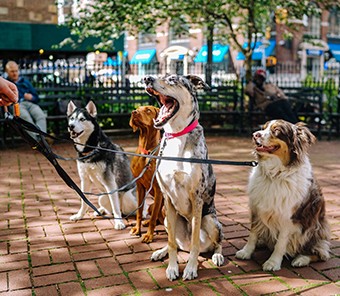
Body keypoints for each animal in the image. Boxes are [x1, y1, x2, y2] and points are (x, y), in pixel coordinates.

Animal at [129, 106, 165, 243]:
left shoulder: (158, 189)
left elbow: (154, 217)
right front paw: (137, 229)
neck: (147, 152)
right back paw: (146, 222)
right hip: (151, 205)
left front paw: (149, 235)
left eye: (148, 110)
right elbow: (139, 212)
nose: (133, 112)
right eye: (137, 109)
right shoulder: (139, 186)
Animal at [143, 74, 223, 282]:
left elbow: (195, 242)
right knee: (177, 244)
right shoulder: (168, 198)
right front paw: (172, 268)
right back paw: (160, 252)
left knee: (216, 243)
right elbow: (171, 242)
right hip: (166, 219)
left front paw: (191, 269)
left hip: (211, 221)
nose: (146, 78)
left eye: (172, 79)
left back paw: (218, 255)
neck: (177, 135)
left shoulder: (197, 198)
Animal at [236, 119, 330, 270]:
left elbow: (280, 243)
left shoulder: (288, 218)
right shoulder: (256, 208)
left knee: (321, 253)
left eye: (277, 131)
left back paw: (301, 259)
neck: (275, 175)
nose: (255, 134)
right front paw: (246, 251)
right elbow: (253, 233)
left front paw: (273, 262)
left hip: (314, 228)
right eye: (263, 128)